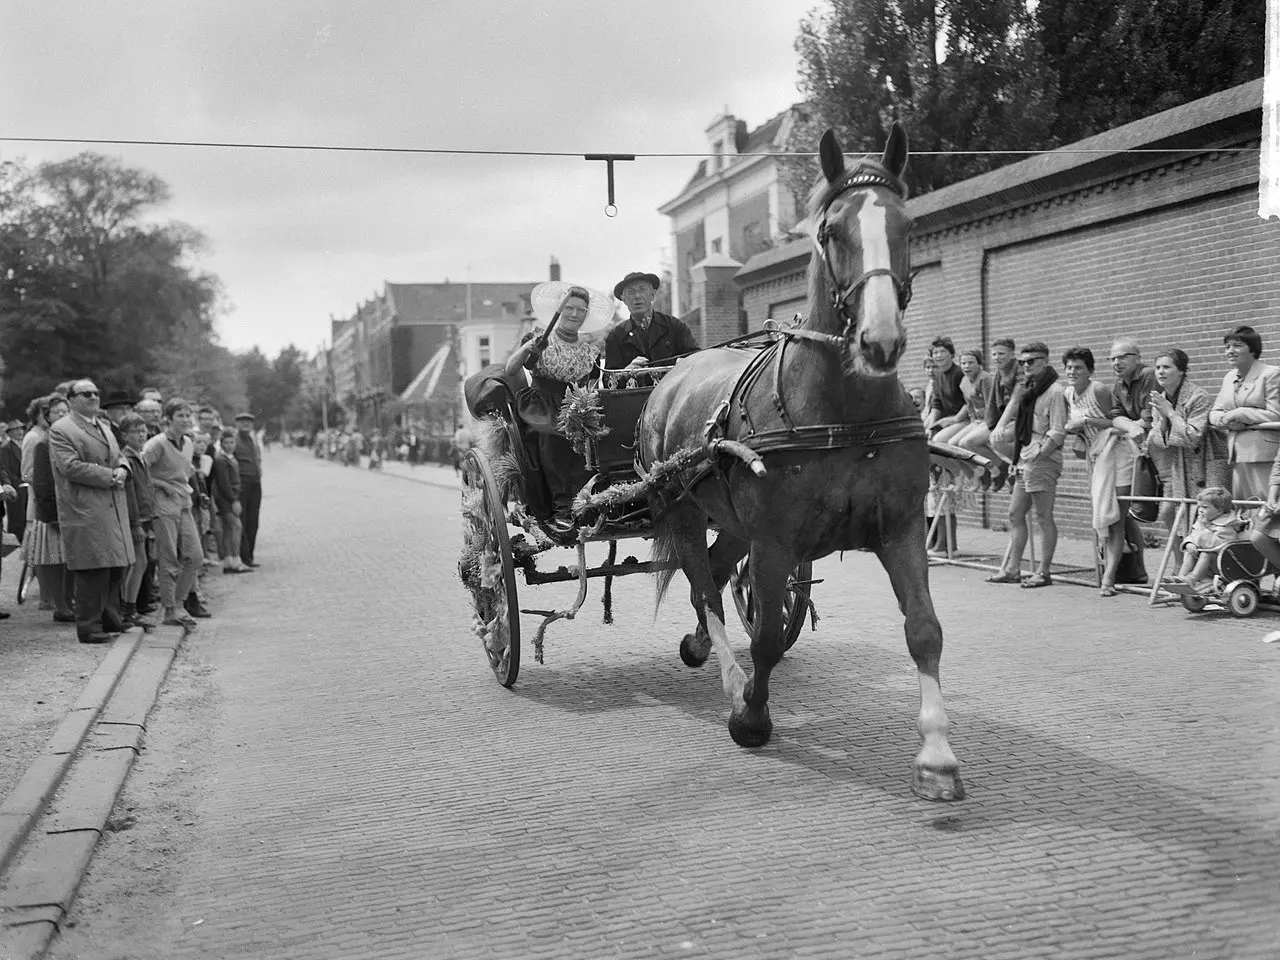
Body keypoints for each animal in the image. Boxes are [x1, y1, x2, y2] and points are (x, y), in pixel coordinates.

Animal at [634, 126, 962, 803]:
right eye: (832, 229)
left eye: (909, 224)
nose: (880, 340)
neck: (845, 412)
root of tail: (670, 376)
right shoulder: (775, 540)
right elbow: (761, 635)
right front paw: (752, 717)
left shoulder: (901, 529)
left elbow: (924, 629)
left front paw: (938, 757)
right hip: (684, 512)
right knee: (703, 586)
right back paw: (731, 681)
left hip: (732, 523)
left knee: (712, 575)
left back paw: (701, 648)